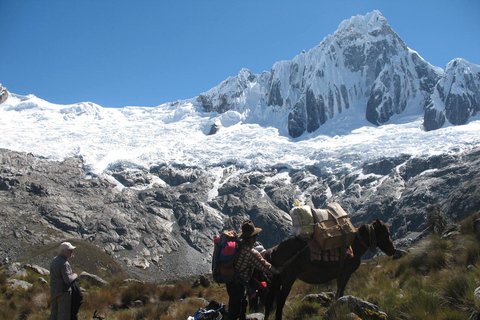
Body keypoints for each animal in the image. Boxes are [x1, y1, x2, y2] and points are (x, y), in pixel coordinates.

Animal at [264, 220, 396, 320]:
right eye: (386, 233)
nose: (393, 250)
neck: (354, 246)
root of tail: (275, 249)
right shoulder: (346, 273)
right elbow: (340, 292)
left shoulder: (340, 274)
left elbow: (339, 293)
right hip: (288, 279)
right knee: (280, 302)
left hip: (277, 279)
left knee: (270, 302)